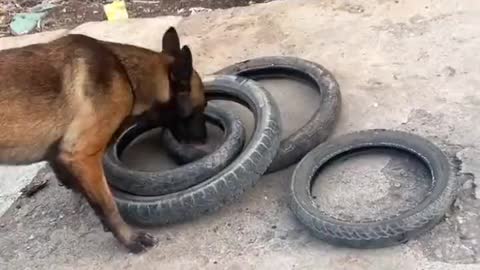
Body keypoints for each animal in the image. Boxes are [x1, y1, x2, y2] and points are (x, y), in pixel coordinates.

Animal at [0, 26, 208, 252]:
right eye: (201, 107)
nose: (205, 141)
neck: (127, 75)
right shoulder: (82, 155)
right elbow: (107, 204)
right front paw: (130, 239)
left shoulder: (63, 155)